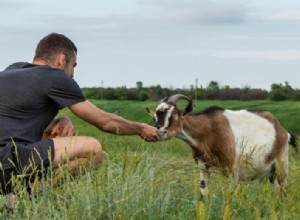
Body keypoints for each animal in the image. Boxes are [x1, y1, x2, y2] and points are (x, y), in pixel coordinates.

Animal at [147, 93, 298, 197]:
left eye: (173, 113)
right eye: (156, 116)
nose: (159, 131)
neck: (208, 131)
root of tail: (283, 131)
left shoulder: (232, 171)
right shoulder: (203, 169)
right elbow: (203, 195)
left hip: (281, 166)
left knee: (283, 190)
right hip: (267, 173)